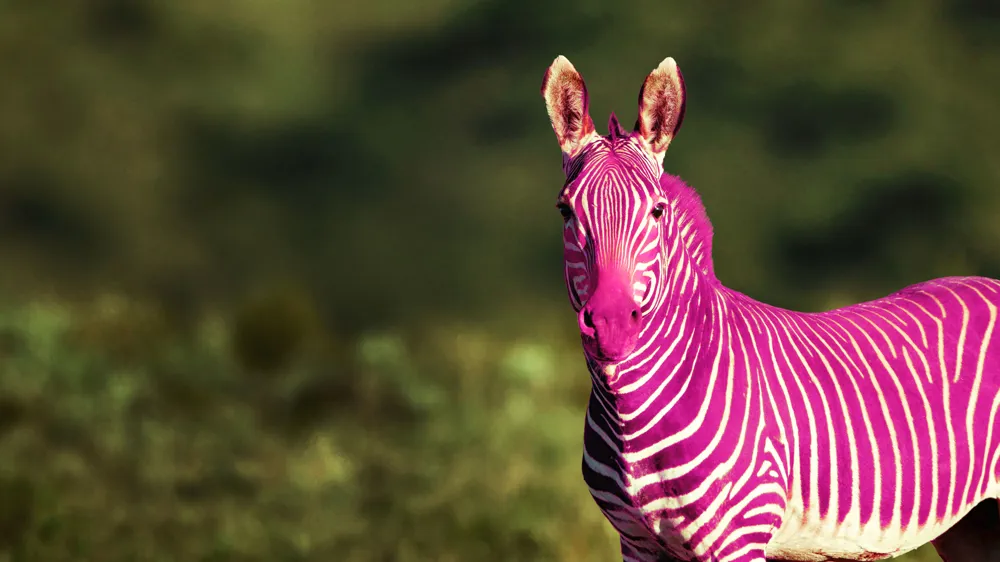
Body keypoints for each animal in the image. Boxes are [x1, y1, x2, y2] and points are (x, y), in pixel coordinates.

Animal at [539, 55, 1000, 562]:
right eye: (565, 211)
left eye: (657, 211)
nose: (611, 324)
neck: (631, 417)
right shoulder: (636, 544)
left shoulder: (738, 538)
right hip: (971, 524)